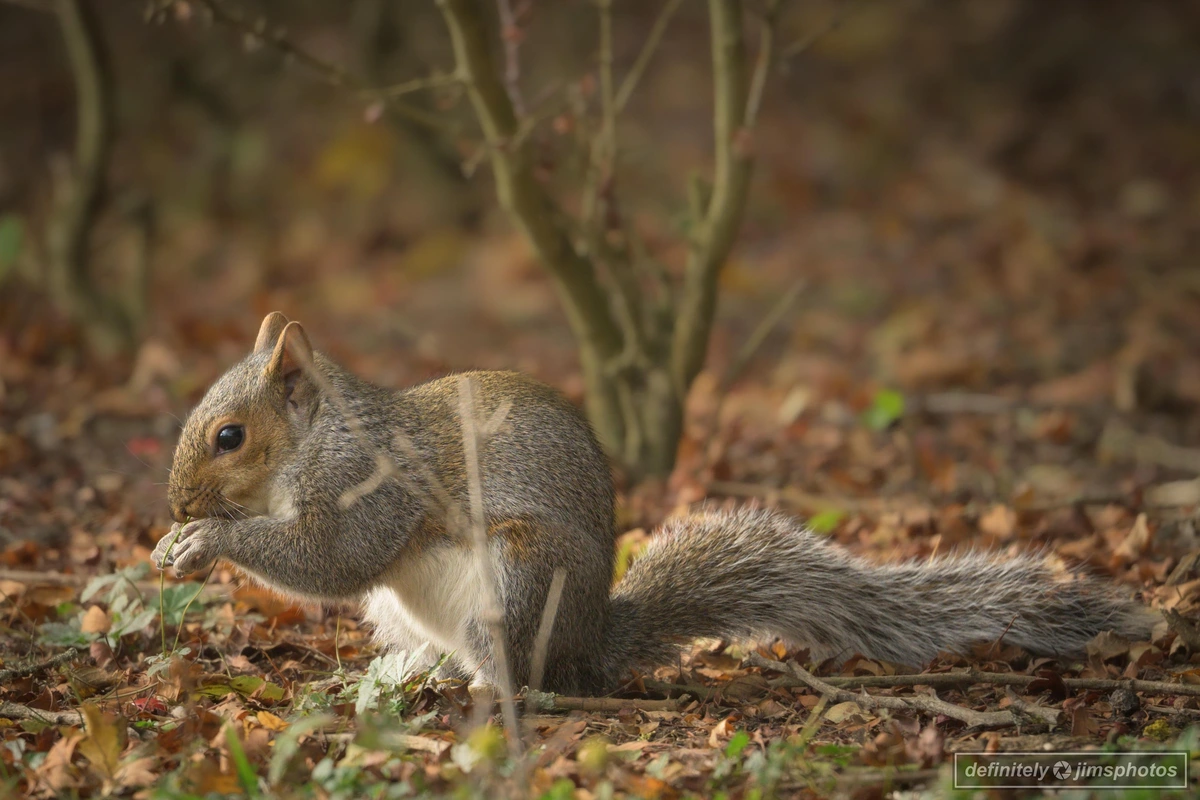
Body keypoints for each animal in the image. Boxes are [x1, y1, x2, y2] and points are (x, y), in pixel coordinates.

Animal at [155, 312, 1156, 695]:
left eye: (230, 436)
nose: (172, 504)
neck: (316, 442)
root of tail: (591, 640)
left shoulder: (376, 484)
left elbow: (334, 558)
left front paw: (206, 541)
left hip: (519, 577)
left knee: (526, 677)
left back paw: (485, 688)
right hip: (410, 613)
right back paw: (410, 674)